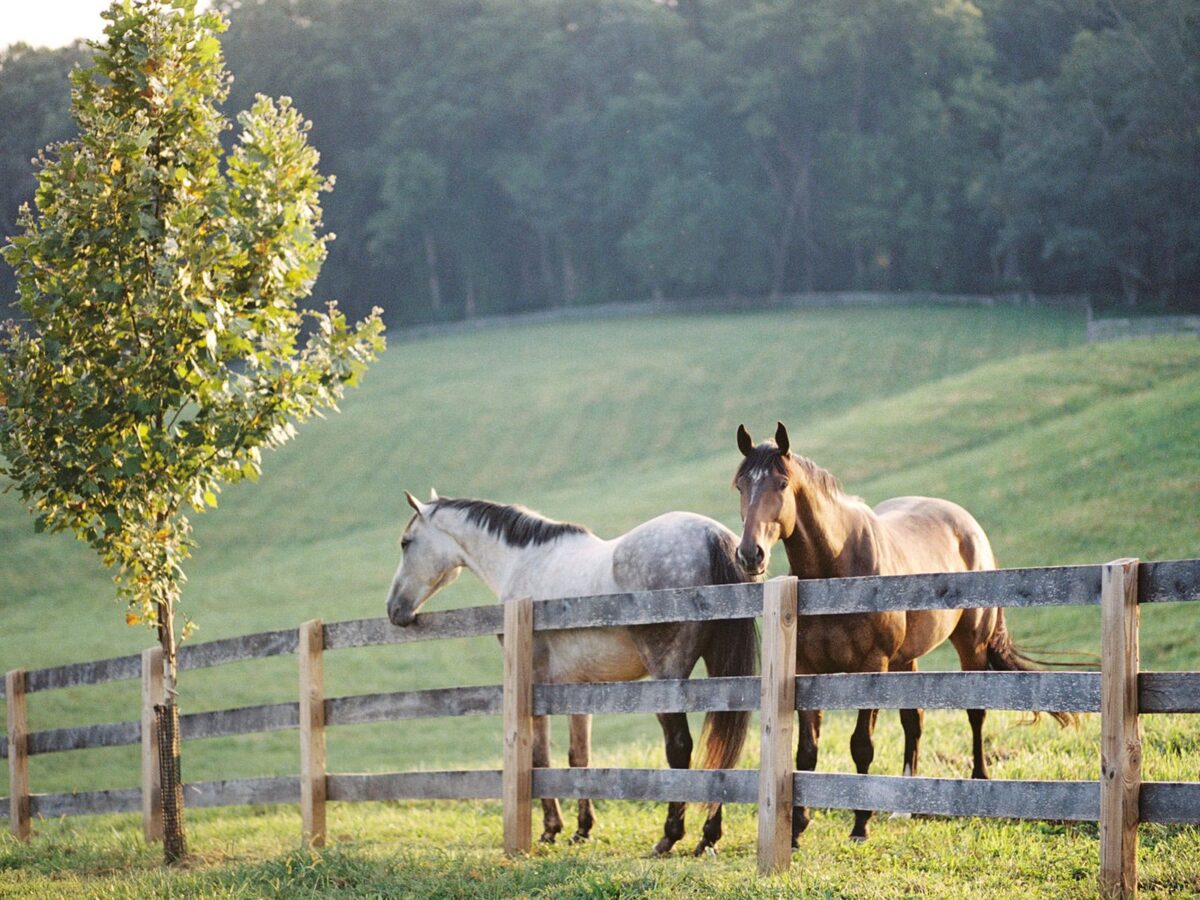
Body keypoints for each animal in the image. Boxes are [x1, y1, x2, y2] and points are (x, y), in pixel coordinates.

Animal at [385, 490, 760, 856]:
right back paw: (708, 837)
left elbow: (539, 755)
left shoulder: (538, 685)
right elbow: (579, 756)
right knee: (721, 748)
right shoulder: (579, 687)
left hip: (667, 676)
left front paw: (551, 829)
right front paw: (582, 829)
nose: (394, 609)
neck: (523, 562)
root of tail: (710, 535)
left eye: (406, 542)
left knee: (680, 747)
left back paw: (669, 837)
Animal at [732, 422, 1073, 844]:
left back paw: (979, 781)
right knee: (915, 720)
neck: (838, 567)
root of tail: (967, 525)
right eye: (740, 485)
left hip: (970, 644)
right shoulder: (808, 671)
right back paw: (904, 806)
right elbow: (806, 750)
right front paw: (796, 828)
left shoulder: (871, 667)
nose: (750, 555)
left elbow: (861, 745)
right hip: (906, 659)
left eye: (780, 483)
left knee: (976, 712)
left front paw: (860, 825)